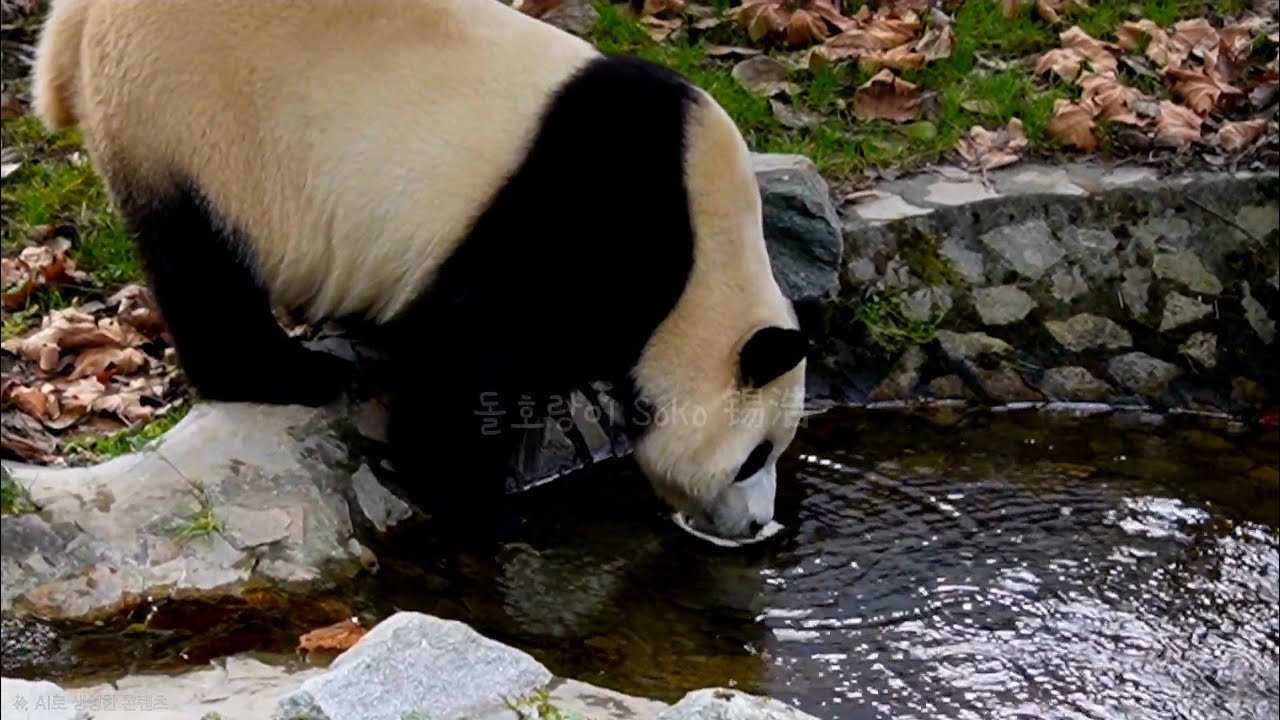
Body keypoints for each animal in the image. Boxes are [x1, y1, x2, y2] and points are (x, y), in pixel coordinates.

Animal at [32, 0, 815, 542]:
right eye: (755, 456)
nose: (756, 527)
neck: (703, 262)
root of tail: (78, 26)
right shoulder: (579, 222)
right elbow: (470, 361)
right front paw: (483, 508)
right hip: (191, 119)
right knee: (204, 265)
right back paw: (292, 374)